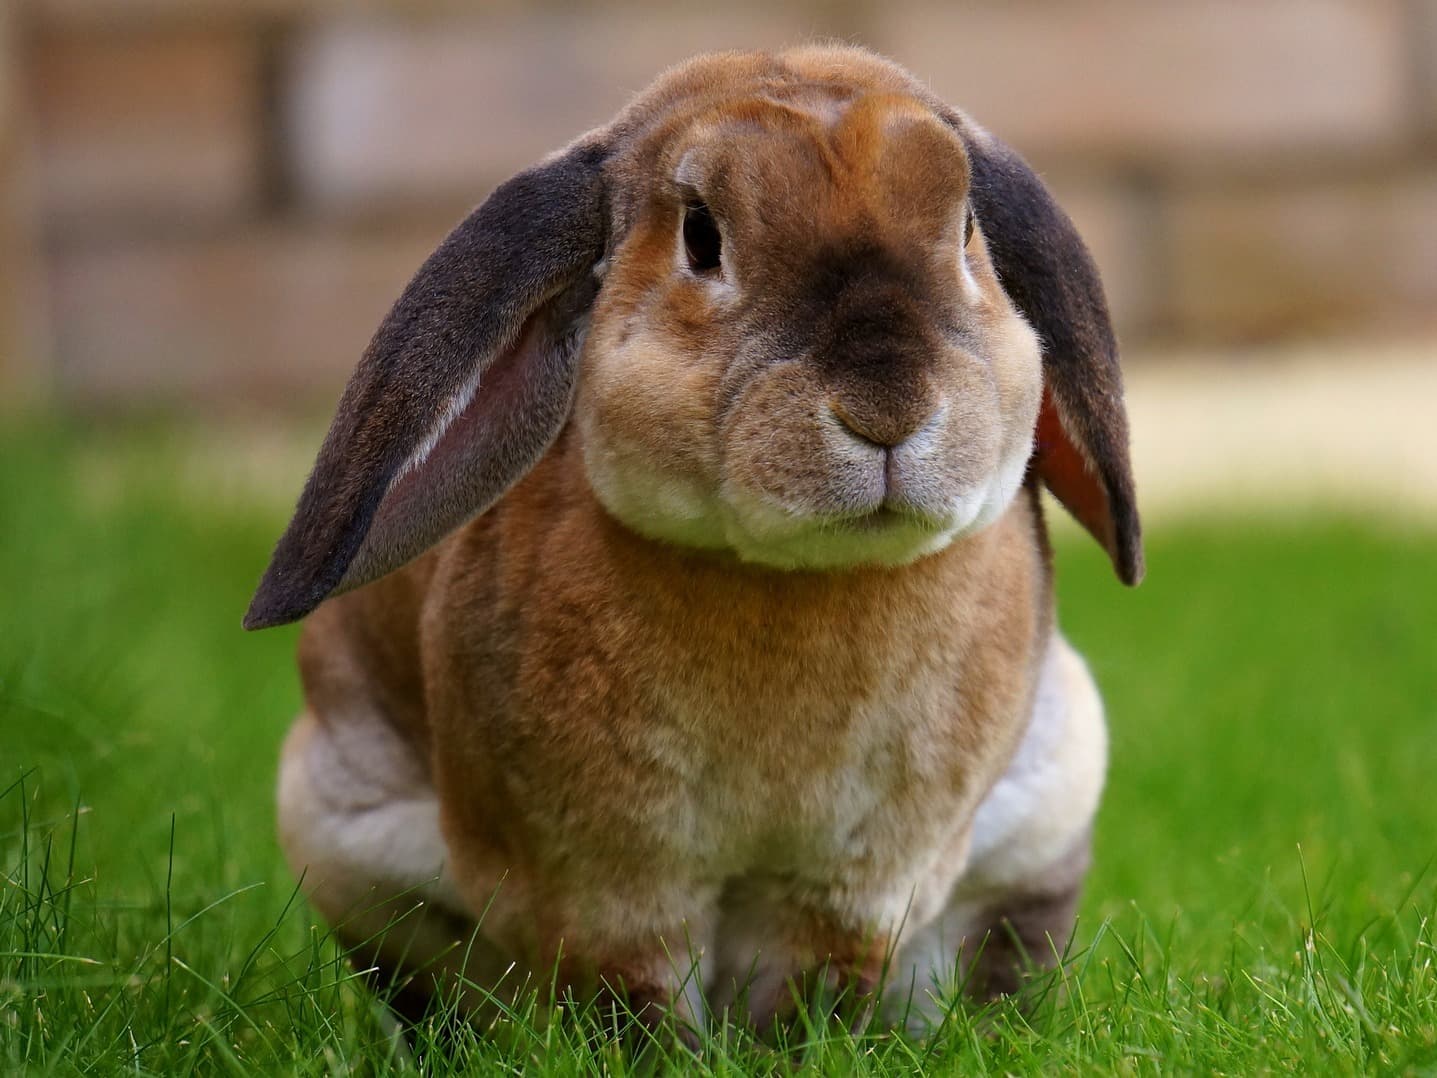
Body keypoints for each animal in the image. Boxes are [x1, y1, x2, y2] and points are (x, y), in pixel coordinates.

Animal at [245, 43, 1142, 1037]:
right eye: (701, 237)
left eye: (967, 230)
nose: (887, 408)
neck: (795, 580)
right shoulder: (607, 887)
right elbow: (632, 997)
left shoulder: (851, 888)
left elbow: (810, 989)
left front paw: (794, 1049)